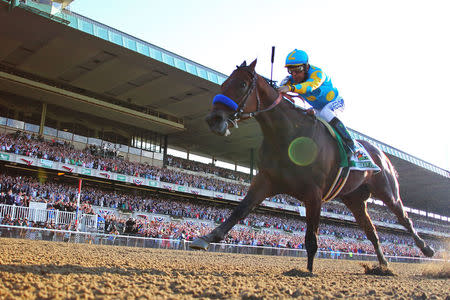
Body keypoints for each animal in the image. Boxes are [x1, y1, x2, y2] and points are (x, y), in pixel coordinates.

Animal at [191, 59, 436, 272]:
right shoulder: (266, 180)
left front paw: (307, 272)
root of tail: (381, 154)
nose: (213, 119)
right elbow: (239, 210)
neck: (287, 135)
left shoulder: (314, 193)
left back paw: (427, 249)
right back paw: (383, 266)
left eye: (241, 84)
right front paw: (205, 238)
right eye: (224, 83)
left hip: (387, 190)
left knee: (404, 218)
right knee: (371, 231)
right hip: (355, 199)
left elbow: (311, 237)